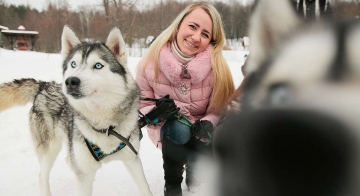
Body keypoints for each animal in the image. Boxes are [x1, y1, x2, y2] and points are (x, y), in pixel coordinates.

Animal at [0, 26, 153, 196]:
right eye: (73, 64)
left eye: (98, 65)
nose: (71, 81)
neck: (104, 126)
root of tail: (44, 85)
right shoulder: (83, 173)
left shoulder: (132, 160)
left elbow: (146, 189)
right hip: (50, 149)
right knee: (42, 176)